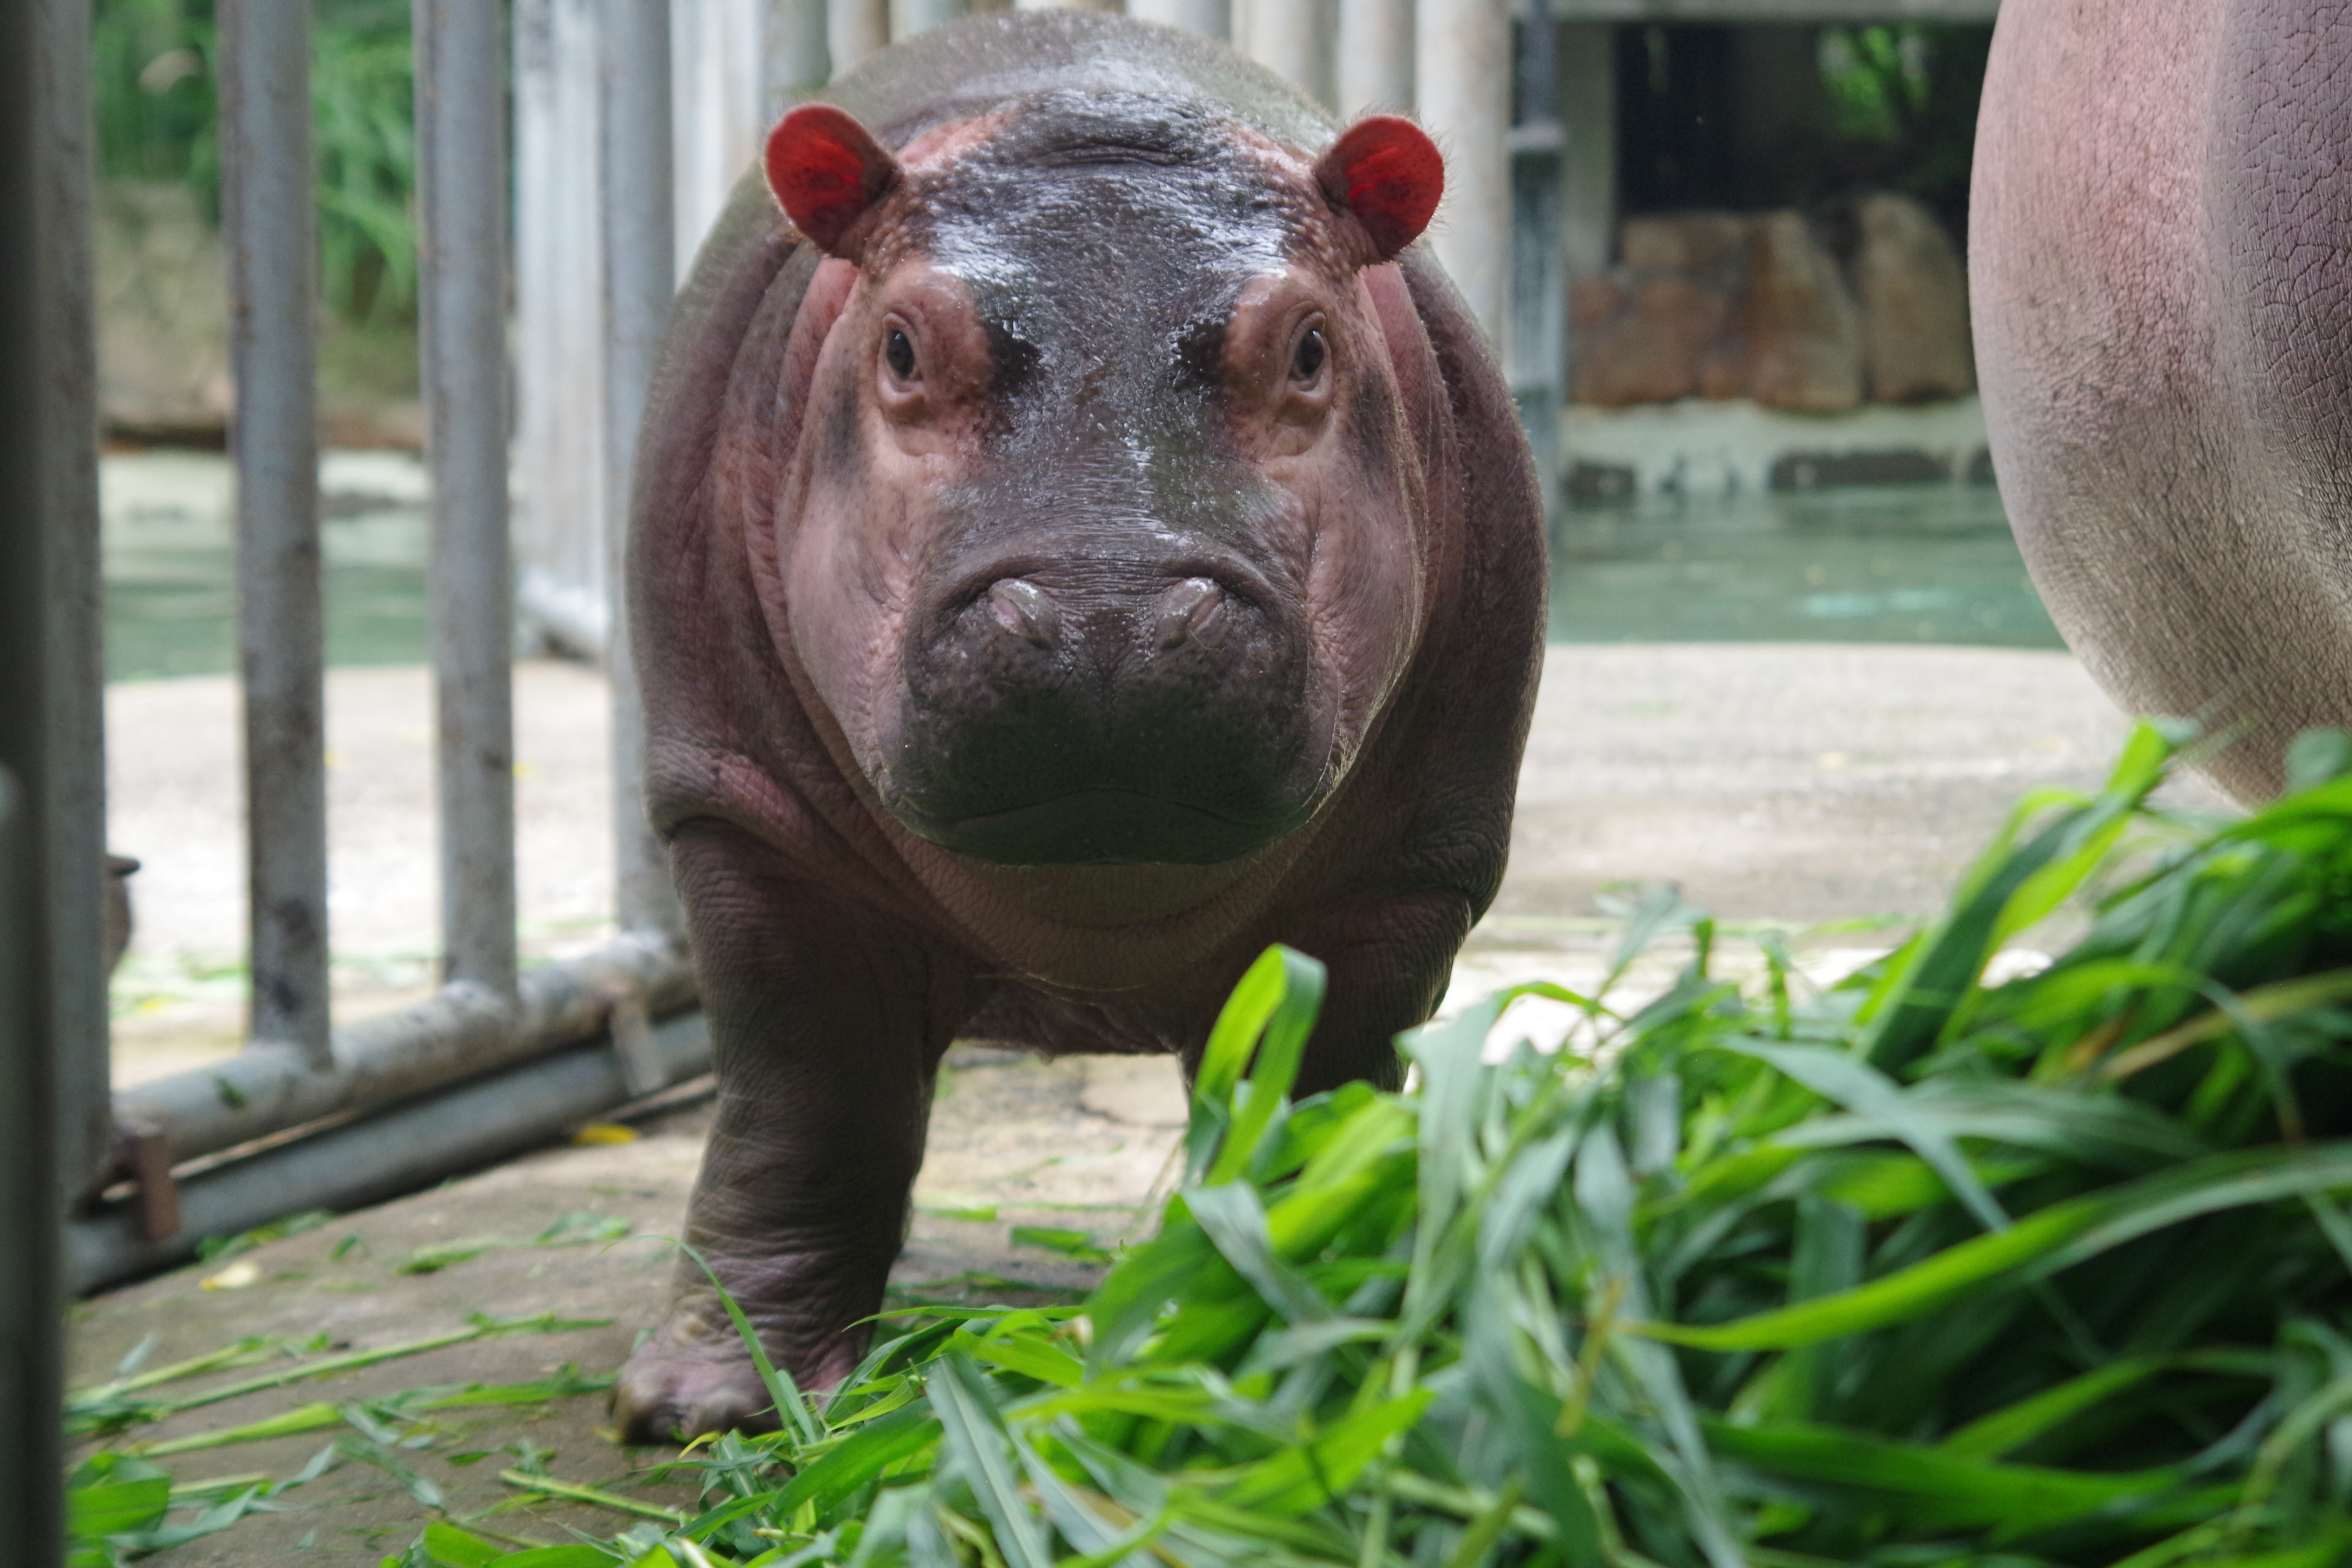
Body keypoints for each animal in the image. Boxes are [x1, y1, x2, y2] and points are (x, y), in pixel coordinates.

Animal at [616, 9, 1552, 1448]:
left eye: (1309, 345)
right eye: (900, 344)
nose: (1107, 612)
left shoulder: (1401, 875)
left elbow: (1311, 1089)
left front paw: (1286, 1316)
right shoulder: (748, 828)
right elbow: (804, 1100)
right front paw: (713, 1405)